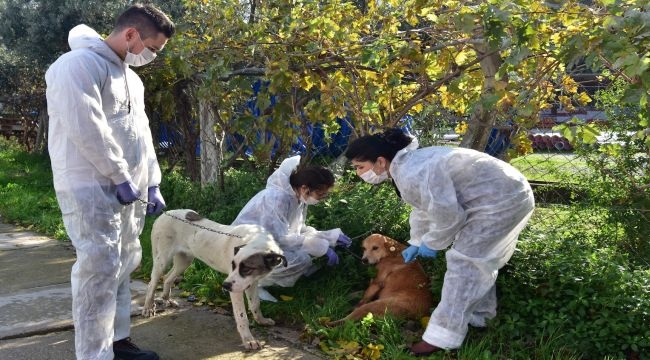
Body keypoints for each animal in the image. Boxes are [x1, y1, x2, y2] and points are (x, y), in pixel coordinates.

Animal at [143, 210, 284, 350]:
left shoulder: (251, 282)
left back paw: (167, 299)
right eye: (233, 265)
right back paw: (148, 308)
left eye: (247, 269)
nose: (225, 286)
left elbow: (255, 304)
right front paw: (249, 339)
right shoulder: (236, 289)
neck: (255, 239)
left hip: (184, 260)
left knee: (167, 278)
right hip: (162, 260)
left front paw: (262, 321)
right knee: (152, 283)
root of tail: (164, 214)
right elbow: (242, 316)